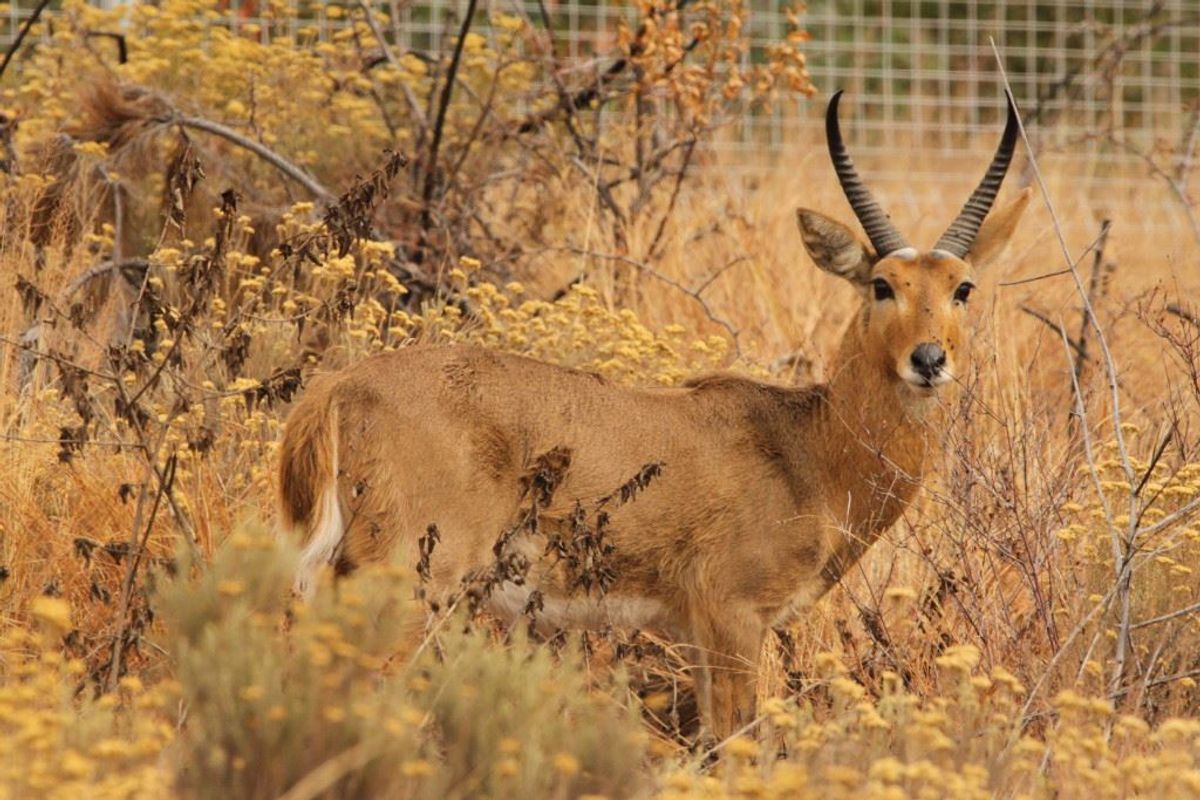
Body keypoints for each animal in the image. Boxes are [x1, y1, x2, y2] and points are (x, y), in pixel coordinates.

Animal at [278, 91, 1032, 739]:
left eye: (962, 286)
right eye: (882, 285)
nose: (928, 359)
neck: (809, 450)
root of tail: (338, 388)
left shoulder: (693, 636)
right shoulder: (732, 620)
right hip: (411, 585)